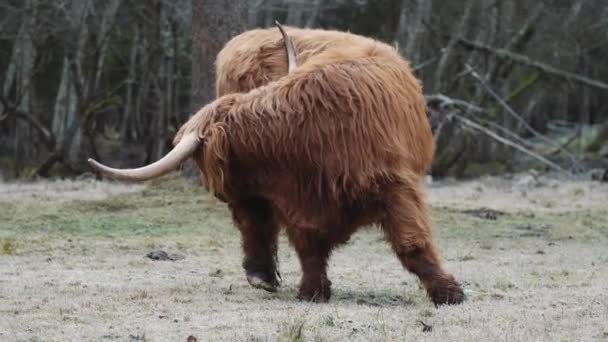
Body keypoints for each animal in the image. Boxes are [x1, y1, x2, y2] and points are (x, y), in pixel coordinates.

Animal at [86, 25, 466, 306]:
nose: (220, 193)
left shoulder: (395, 186)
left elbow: (412, 243)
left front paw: (448, 293)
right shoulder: (295, 202)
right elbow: (308, 248)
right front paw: (313, 292)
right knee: (255, 226)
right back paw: (261, 276)